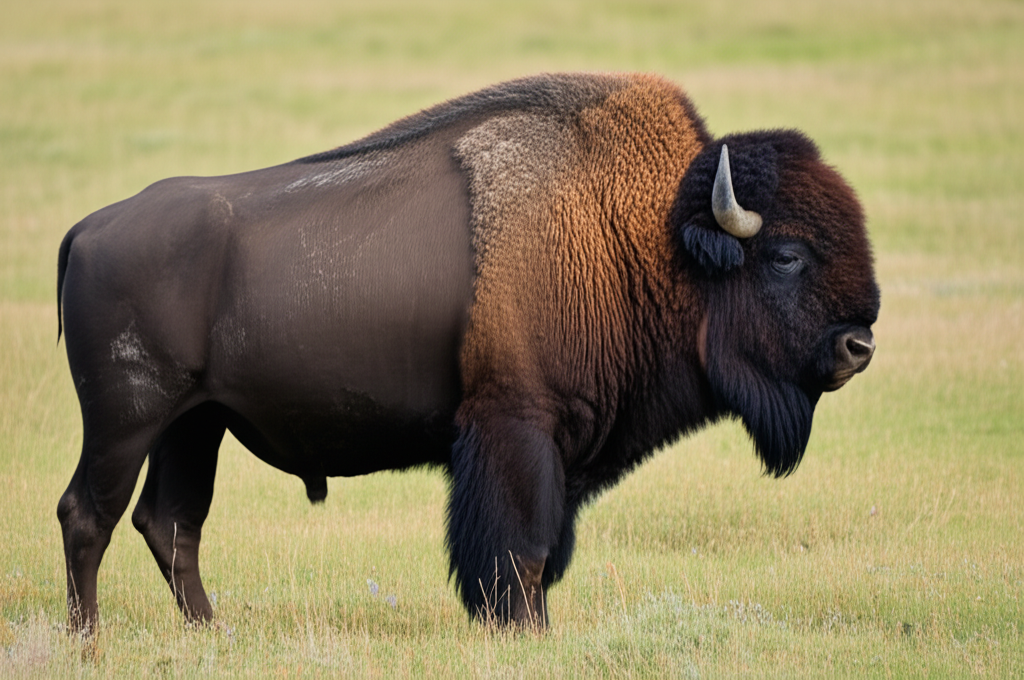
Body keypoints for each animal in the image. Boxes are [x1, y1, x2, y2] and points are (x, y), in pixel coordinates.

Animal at [56, 72, 878, 632]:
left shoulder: (563, 454)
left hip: (196, 425)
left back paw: (212, 631)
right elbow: (522, 552)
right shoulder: (516, 428)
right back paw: (88, 640)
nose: (859, 345)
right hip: (126, 422)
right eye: (786, 256)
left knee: (171, 523)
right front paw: (522, 631)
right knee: (89, 515)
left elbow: (547, 553)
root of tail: (89, 229)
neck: (640, 237)